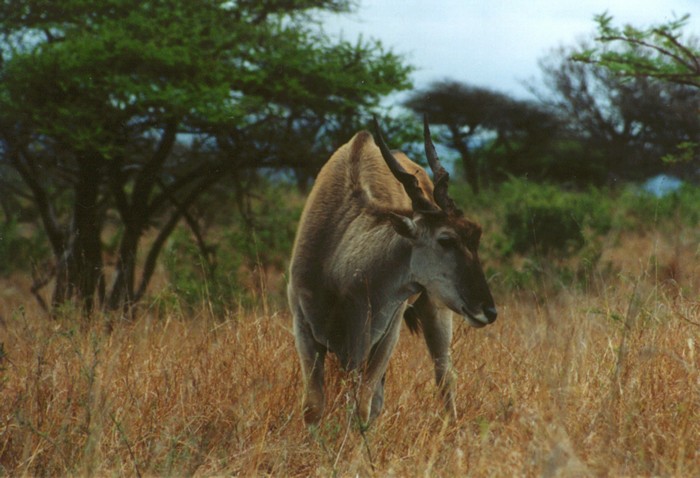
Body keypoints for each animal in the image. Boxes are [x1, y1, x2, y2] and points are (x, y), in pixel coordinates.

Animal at [286, 116, 498, 426]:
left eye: (477, 237)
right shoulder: (304, 328)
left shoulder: (383, 335)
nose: (489, 310)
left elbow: (362, 407)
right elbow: (313, 407)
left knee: (444, 376)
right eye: (446, 240)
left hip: (435, 310)